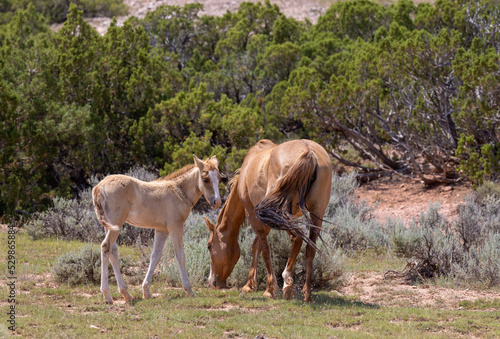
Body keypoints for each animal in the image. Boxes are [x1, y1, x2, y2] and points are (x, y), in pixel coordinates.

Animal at [93, 155, 222, 304]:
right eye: (205, 179)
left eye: (219, 177)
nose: (217, 202)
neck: (179, 191)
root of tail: (99, 186)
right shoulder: (175, 226)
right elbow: (180, 255)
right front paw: (189, 290)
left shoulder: (162, 230)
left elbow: (155, 256)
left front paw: (146, 291)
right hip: (115, 224)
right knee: (106, 247)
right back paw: (107, 295)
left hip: (110, 226)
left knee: (113, 251)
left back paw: (126, 294)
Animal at [203, 141, 332, 302]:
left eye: (209, 246)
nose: (213, 282)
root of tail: (308, 150)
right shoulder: (266, 220)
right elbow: (257, 245)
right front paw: (250, 285)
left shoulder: (253, 213)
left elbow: (264, 248)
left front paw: (270, 289)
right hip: (316, 212)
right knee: (310, 248)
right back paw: (307, 293)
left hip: (279, 211)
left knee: (297, 238)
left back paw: (287, 283)